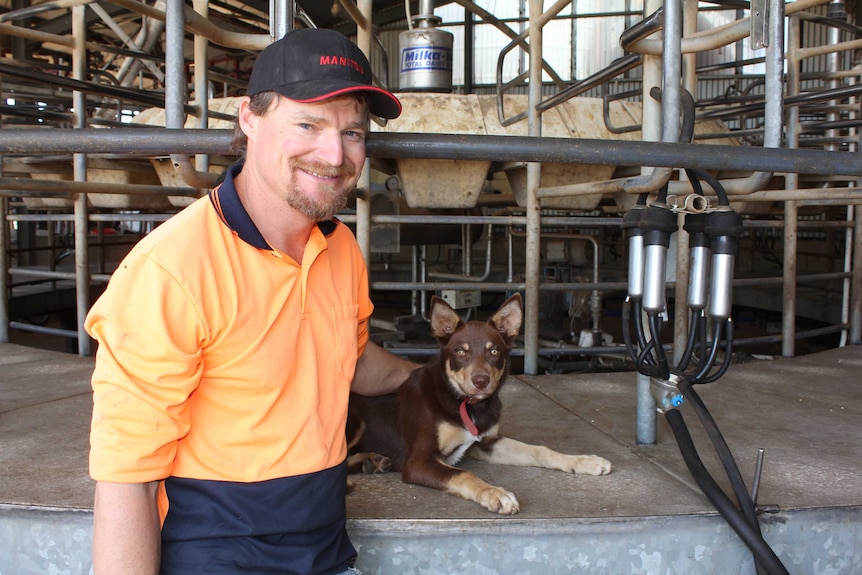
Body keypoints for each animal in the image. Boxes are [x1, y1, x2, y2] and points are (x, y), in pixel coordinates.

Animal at [346, 294, 616, 516]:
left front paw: (584, 461)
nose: (480, 381)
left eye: (494, 351)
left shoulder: (486, 442)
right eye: (460, 352)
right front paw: (495, 493)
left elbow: (539, 450)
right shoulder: (418, 462)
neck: (466, 404)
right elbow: (464, 474)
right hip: (355, 421)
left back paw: (371, 461)